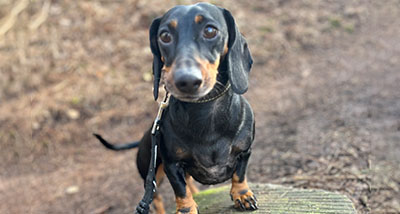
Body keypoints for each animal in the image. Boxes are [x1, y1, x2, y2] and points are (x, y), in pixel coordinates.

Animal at [95, 2, 256, 214]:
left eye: (210, 31)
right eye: (164, 36)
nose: (186, 81)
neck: (205, 113)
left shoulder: (245, 151)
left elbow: (240, 174)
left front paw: (242, 194)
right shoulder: (171, 165)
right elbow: (180, 190)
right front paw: (186, 209)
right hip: (152, 170)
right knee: (156, 197)